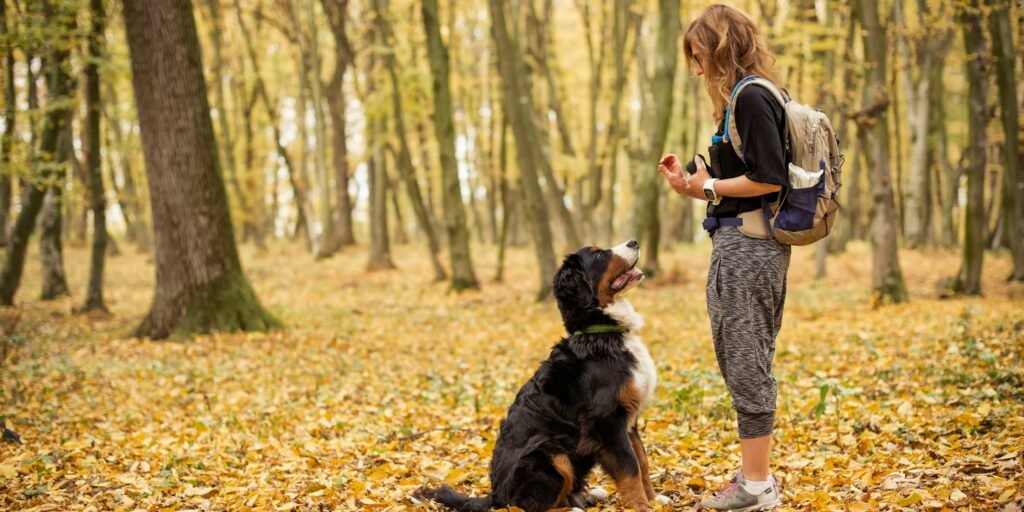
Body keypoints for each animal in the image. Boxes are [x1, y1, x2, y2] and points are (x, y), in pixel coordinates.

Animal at [415, 240, 655, 512]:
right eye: (599, 255)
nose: (634, 242)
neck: (601, 333)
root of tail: (496, 496)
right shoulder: (607, 420)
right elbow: (630, 467)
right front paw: (641, 506)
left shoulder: (629, 419)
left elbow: (642, 460)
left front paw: (655, 499)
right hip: (549, 452)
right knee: (532, 505)